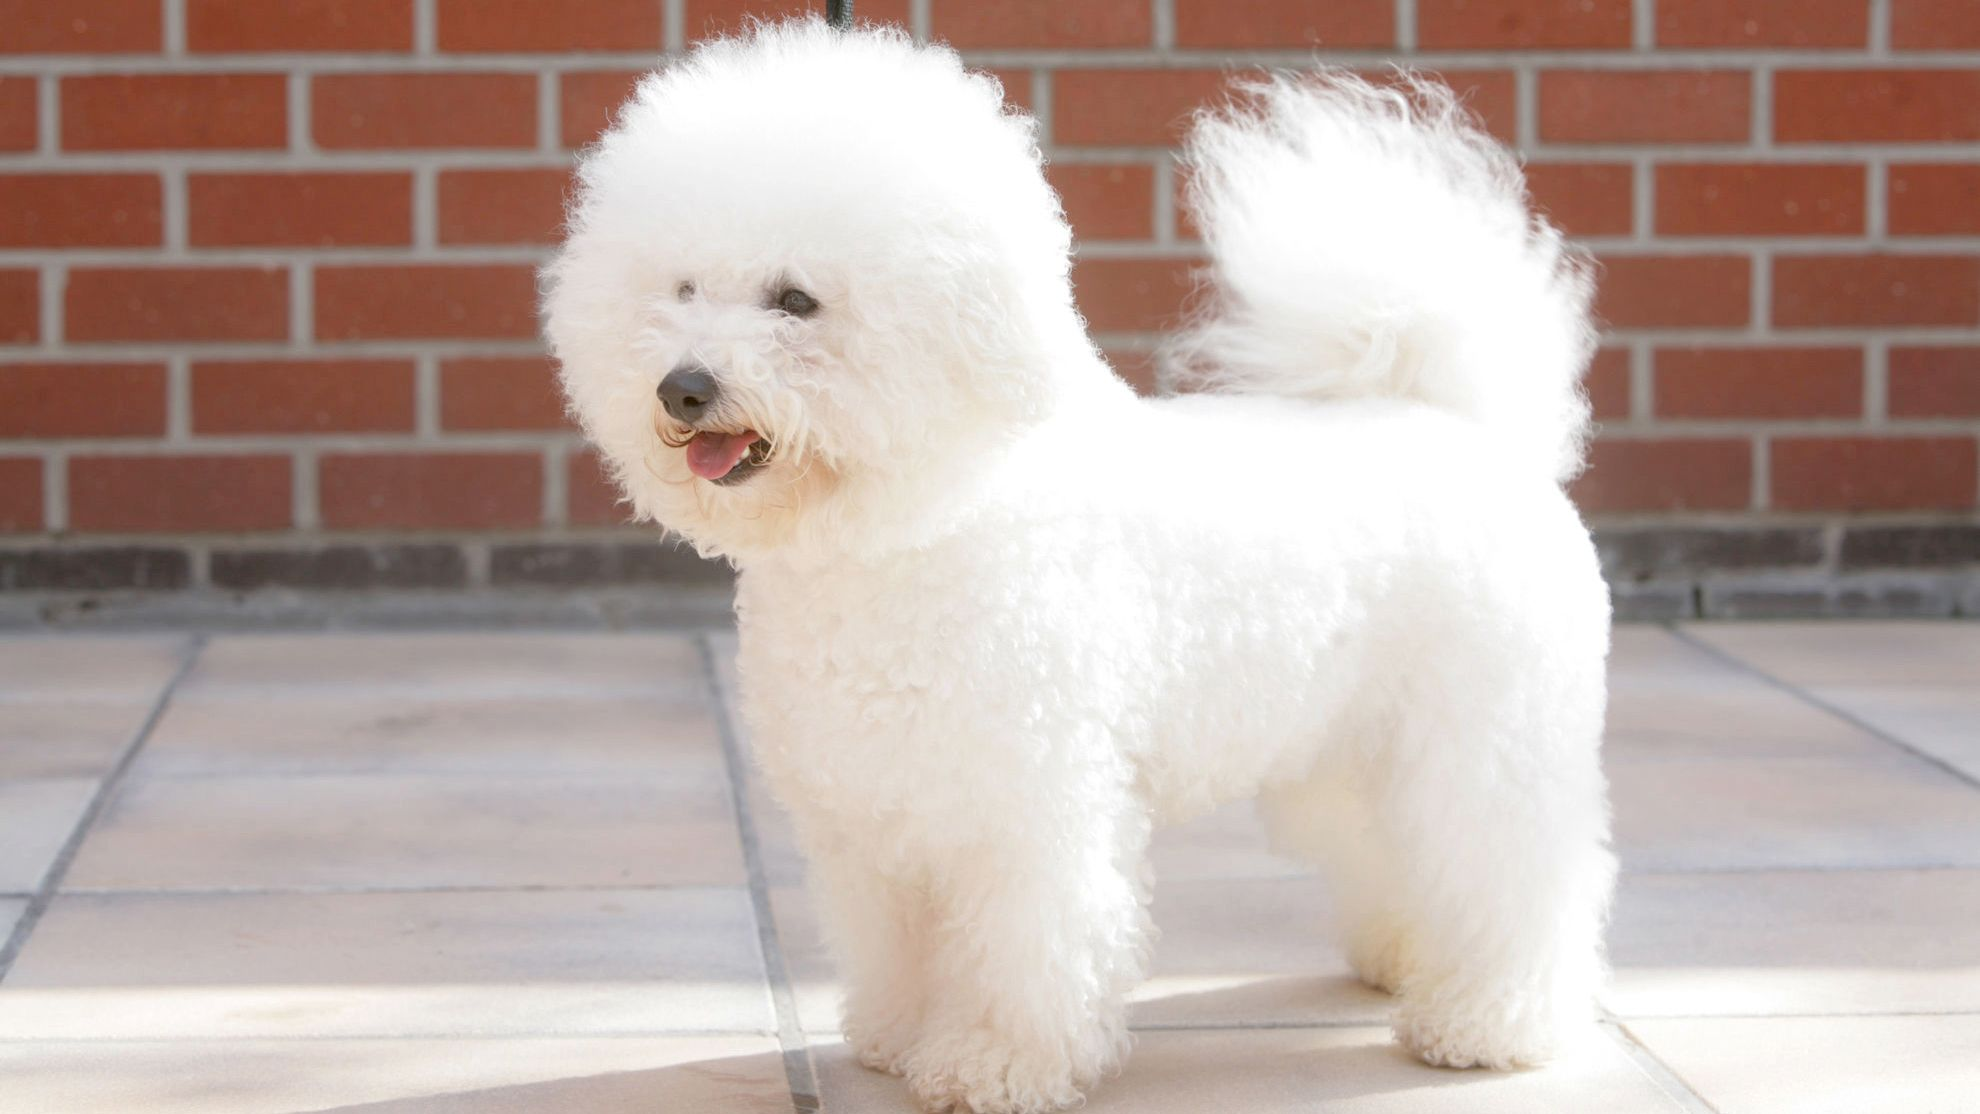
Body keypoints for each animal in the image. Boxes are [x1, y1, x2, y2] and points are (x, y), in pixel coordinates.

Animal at [542, 17, 1607, 1114]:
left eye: (795, 300)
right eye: (681, 290)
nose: (681, 386)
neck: (927, 518)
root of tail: (1465, 422)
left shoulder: (1028, 797)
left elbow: (1026, 947)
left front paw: (993, 1063)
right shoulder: (874, 813)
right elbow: (896, 940)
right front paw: (896, 1037)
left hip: (1483, 734)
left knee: (1516, 869)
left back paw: (1486, 1021)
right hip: (1348, 745)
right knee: (1395, 855)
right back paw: (1403, 959)